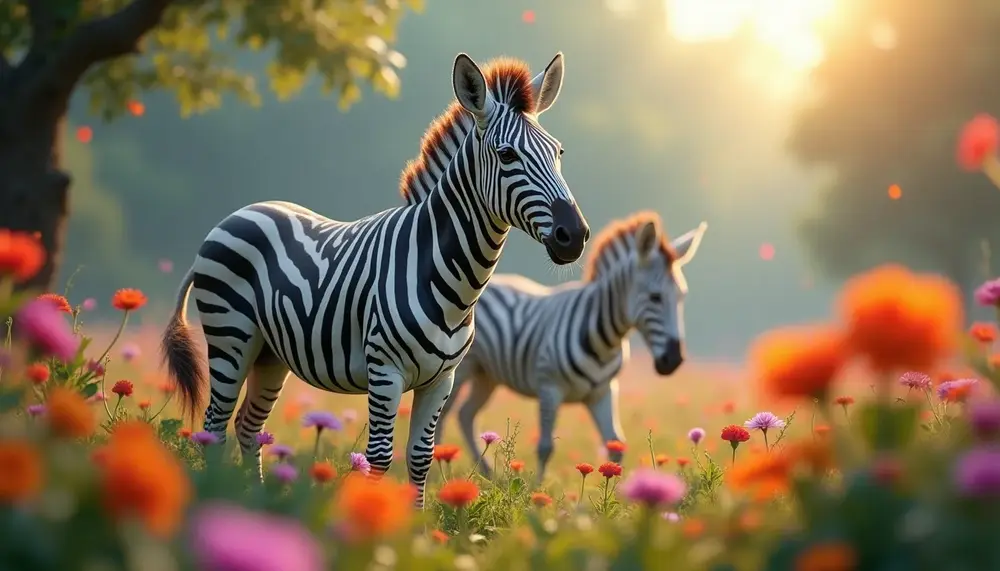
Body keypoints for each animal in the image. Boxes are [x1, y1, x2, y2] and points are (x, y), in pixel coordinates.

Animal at [160, 52, 590, 506]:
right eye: (506, 155)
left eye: (558, 152)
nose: (575, 235)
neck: (448, 279)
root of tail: (238, 214)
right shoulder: (385, 370)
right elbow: (380, 458)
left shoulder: (442, 379)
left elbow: (420, 457)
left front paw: (418, 524)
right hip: (231, 337)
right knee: (214, 424)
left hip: (270, 352)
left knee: (248, 425)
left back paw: (257, 502)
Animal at [435, 211, 706, 479]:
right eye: (655, 297)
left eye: (682, 296)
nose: (674, 360)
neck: (603, 340)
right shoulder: (549, 388)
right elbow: (545, 447)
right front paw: (537, 490)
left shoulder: (603, 392)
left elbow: (615, 445)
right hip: (463, 369)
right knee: (443, 414)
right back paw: (440, 474)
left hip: (486, 374)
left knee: (465, 414)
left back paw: (487, 473)